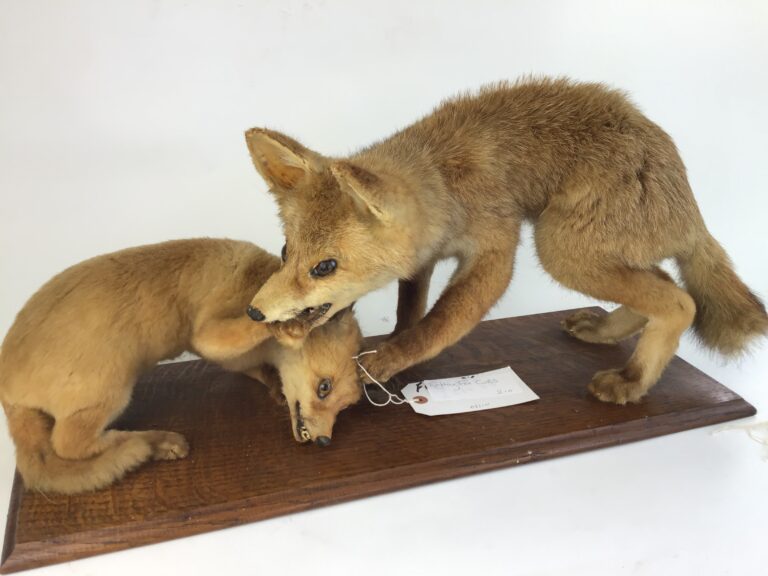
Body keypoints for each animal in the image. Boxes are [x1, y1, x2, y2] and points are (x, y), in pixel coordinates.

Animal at [0, 238, 362, 494]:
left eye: (347, 405)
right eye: (324, 387)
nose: (325, 441)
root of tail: (7, 390)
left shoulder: (225, 357)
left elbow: (256, 369)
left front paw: (275, 384)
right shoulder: (206, 334)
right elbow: (254, 324)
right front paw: (290, 326)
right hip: (110, 394)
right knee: (68, 445)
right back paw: (157, 443)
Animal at [244, 77, 768, 405]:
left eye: (325, 266)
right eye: (287, 251)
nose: (254, 311)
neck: (445, 182)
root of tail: (688, 204)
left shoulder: (495, 249)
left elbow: (439, 324)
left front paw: (388, 359)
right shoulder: (424, 258)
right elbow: (411, 311)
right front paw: (396, 349)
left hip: (561, 249)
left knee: (680, 302)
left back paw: (632, 382)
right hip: (594, 251)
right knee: (662, 285)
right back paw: (603, 331)